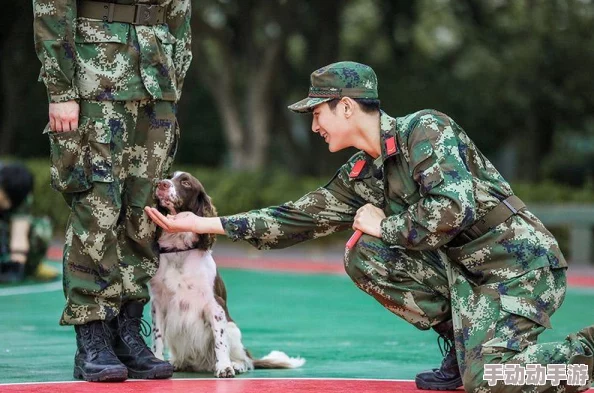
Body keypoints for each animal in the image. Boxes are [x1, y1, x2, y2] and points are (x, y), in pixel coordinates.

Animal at [148, 171, 306, 376]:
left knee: (247, 360)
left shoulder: (215, 305)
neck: (179, 250)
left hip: (233, 329)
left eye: (186, 183)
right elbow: (157, 338)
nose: (162, 184)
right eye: (168, 176)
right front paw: (157, 361)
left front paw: (224, 367)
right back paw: (175, 363)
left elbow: (220, 340)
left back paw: (236, 365)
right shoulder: (158, 304)